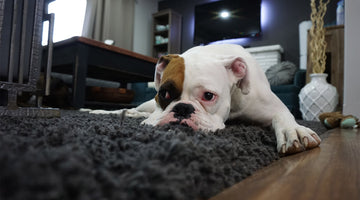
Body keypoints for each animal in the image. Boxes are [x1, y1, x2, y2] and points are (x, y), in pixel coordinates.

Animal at [90, 44, 320, 155]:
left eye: (208, 96)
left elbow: (284, 117)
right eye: (164, 94)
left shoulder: (274, 107)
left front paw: (293, 131)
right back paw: (99, 111)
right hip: (146, 105)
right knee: (135, 110)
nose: (182, 108)